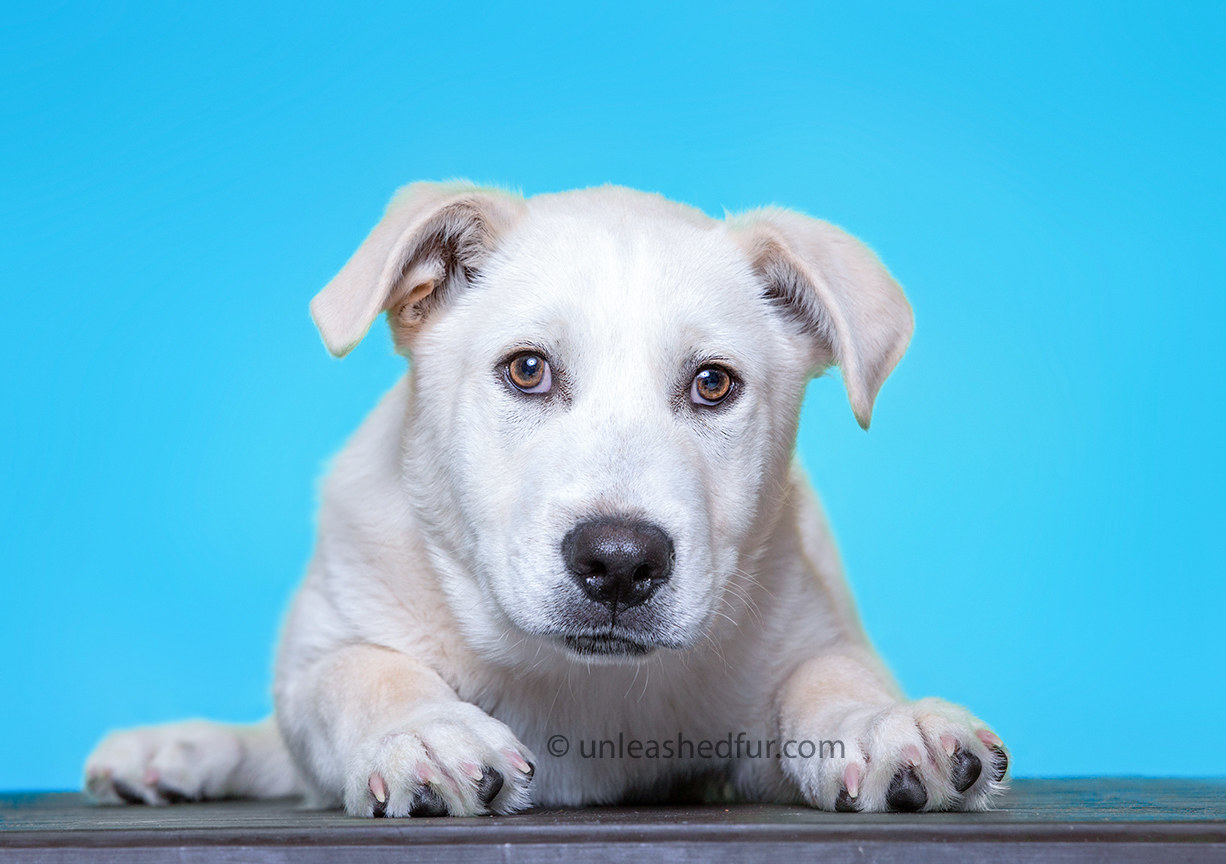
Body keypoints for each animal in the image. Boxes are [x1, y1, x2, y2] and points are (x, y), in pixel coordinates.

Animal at [83, 181, 1005, 813]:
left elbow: (828, 670)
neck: (580, 681)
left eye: (713, 384)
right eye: (527, 370)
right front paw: (424, 730)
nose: (621, 564)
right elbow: (358, 670)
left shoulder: (793, 641)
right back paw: (171, 749)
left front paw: (885, 722)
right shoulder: (323, 645)